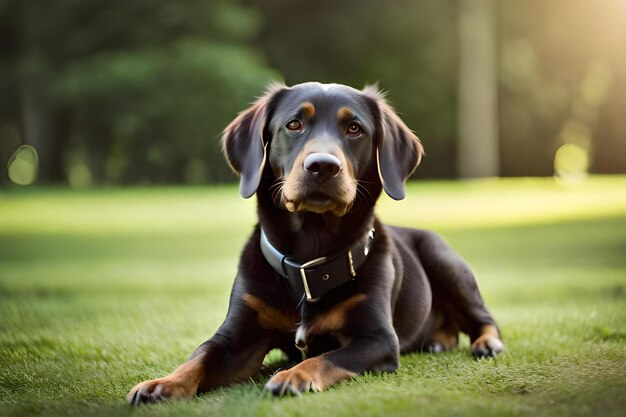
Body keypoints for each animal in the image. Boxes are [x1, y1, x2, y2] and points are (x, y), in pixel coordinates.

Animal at [127, 81, 502, 404]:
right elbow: (201, 355)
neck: (309, 259)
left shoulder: (379, 338)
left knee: (484, 317)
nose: (322, 166)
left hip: (444, 260)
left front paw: (294, 375)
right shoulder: (237, 337)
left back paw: (487, 344)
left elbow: (328, 357)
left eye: (355, 129)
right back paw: (438, 341)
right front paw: (162, 383)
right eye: (294, 124)